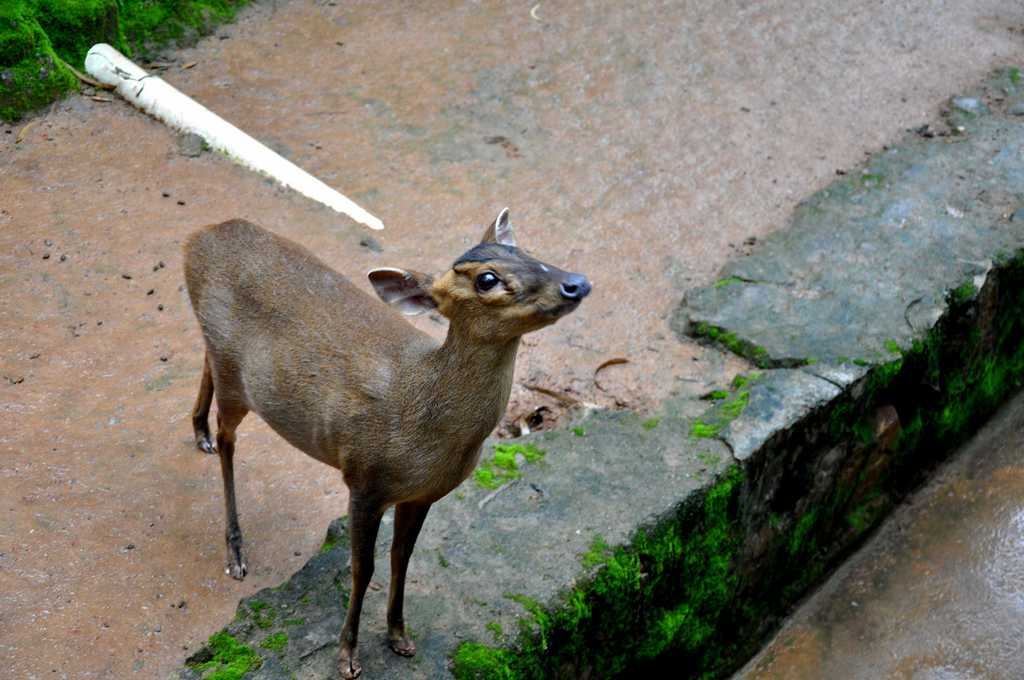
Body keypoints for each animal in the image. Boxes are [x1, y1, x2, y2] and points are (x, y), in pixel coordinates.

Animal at [180, 209, 589, 675]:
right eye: (487, 278)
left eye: (524, 251)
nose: (576, 282)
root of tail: (199, 237)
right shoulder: (364, 478)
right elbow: (362, 567)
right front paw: (348, 657)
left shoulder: (424, 493)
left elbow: (402, 557)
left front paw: (399, 636)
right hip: (237, 379)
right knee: (228, 436)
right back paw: (234, 548)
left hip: (224, 358)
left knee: (206, 365)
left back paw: (198, 431)